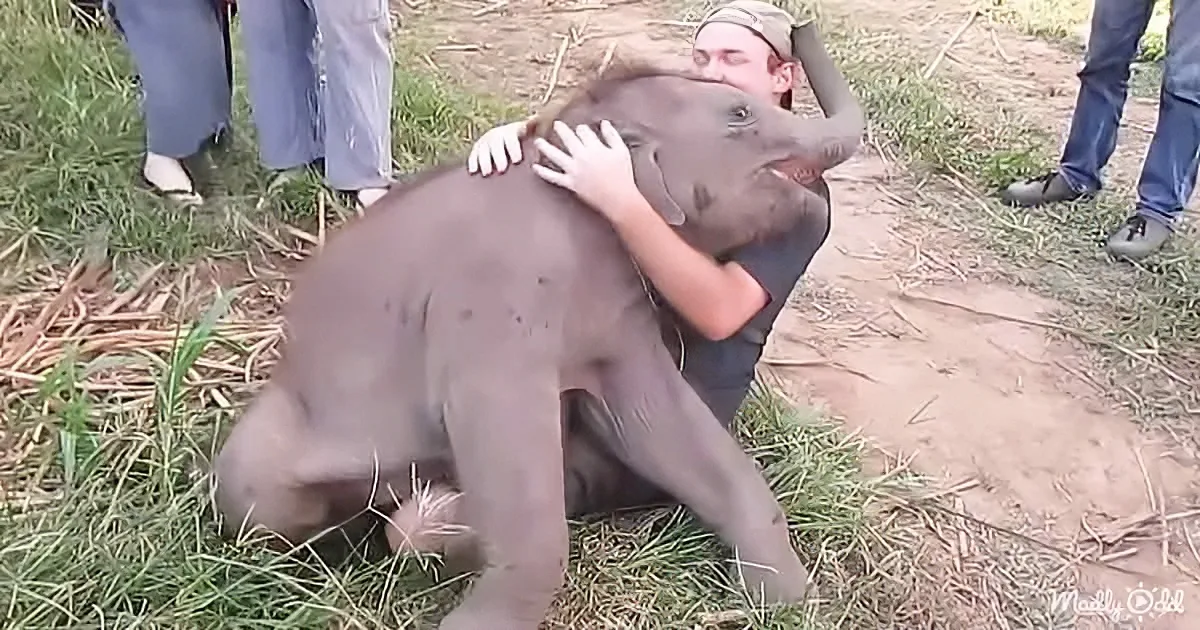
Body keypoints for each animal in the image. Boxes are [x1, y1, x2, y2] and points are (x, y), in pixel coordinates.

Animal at [210, 21, 864, 630]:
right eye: (739, 114)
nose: (801, 26)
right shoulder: (493, 299)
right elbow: (512, 439)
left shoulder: (615, 317)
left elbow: (658, 420)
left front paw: (787, 601)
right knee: (259, 500)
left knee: (409, 521)